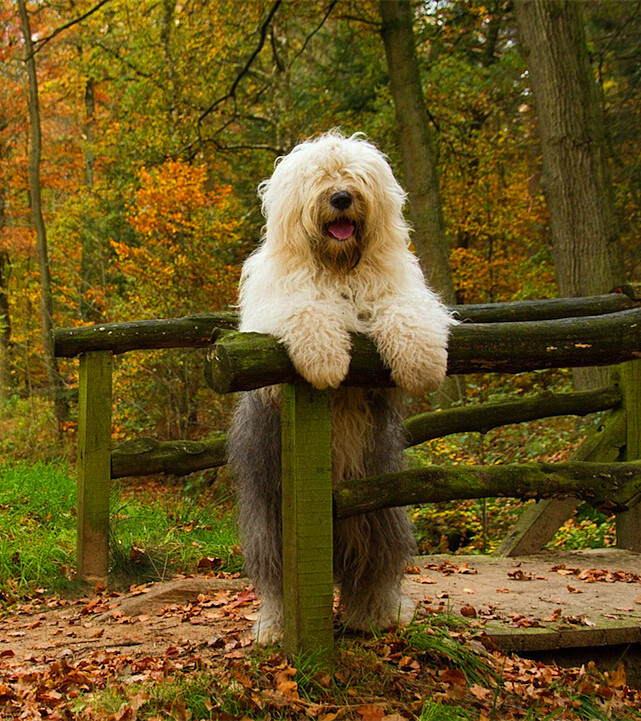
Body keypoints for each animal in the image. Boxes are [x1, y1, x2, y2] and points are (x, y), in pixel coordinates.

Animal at [228, 132, 452, 644]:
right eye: (319, 177)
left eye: (354, 174)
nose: (342, 197)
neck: (338, 270)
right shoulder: (280, 307)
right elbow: (305, 310)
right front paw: (327, 362)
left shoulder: (394, 289)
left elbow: (407, 311)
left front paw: (423, 364)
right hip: (274, 518)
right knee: (277, 578)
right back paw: (275, 627)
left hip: (381, 511)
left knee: (373, 567)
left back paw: (374, 615)